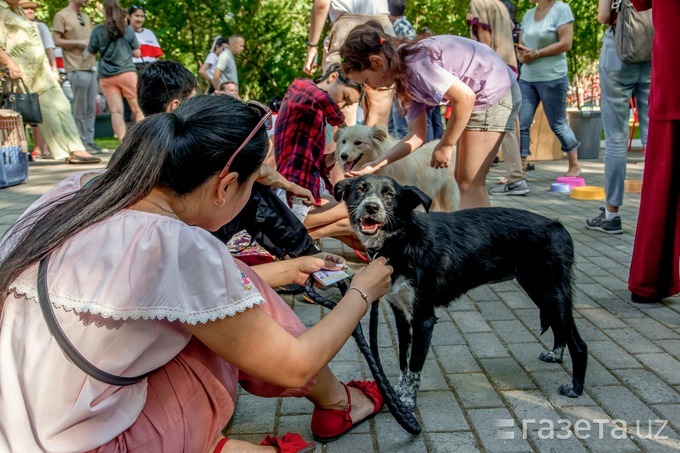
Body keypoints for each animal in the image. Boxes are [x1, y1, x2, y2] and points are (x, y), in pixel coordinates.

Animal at [334, 175, 584, 408]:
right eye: (360, 189)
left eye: (389, 195)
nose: (371, 207)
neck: (402, 240)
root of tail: (559, 226)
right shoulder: (401, 315)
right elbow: (403, 360)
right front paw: (397, 392)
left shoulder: (423, 319)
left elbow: (414, 365)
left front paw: (407, 401)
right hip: (543, 293)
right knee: (562, 329)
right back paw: (555, 355)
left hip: (550, 292)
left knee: (579, 344)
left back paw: (575, 387)